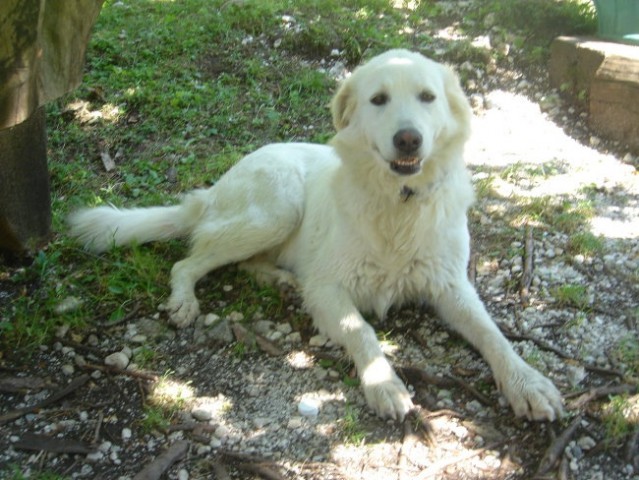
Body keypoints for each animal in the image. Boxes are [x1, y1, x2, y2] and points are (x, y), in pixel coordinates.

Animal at [67, 49, 564, 420]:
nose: (408, 139)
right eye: (379, 100)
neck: (397, 203)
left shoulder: (452, 287)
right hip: (278, 207)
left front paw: (527, 382)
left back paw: (283, 281)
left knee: (244, 263)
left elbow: (493, 335)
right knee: (186, 262)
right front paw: (385, 385)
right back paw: (187, 300)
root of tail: (215, 189)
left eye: (427, 97)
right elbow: (364, 331)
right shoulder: (329, 290)